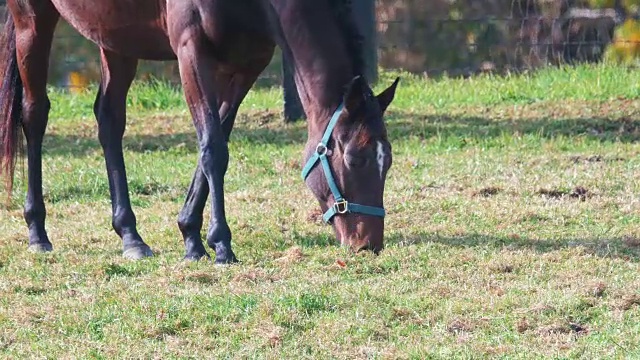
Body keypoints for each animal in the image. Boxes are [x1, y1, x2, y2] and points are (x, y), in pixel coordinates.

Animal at [0, 0, 398, 264]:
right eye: (355, 158)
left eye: (388, 162)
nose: (368, 243)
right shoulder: (191, 52)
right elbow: (213, 149)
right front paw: (220, 245)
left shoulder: (248, 65)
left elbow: (216, 142)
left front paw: (191, 234)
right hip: (32, 20)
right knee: (34, 115)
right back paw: (37, 232)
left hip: (115, 37)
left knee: (109, 120)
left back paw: (131, 236)